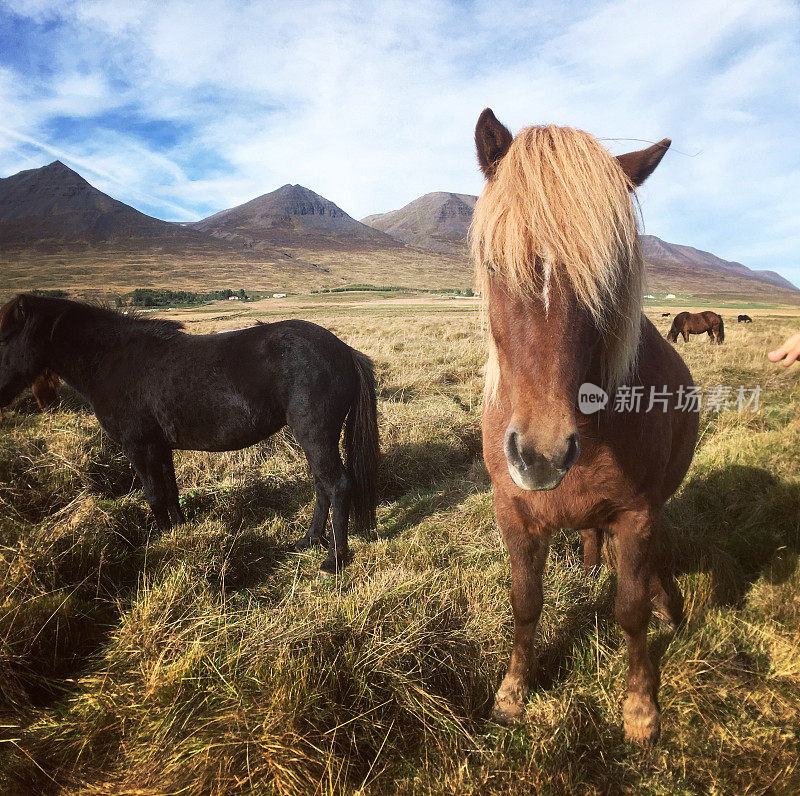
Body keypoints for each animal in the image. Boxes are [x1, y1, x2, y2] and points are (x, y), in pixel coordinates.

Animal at [0, 292, 380, 572]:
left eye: (5, 337)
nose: (1, 393)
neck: (113, 360)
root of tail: (344, 351)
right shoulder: (159, 446)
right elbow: (169, 491)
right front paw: (179, 532)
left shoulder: (138, 446)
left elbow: (153, 494)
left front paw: (162, 543)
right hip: (313, 438)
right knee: (321, 486)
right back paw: (308, 540)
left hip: (315, 434)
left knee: (337, 485)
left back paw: (333, 560)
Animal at [472, 110, 696, 748]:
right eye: (494, 265)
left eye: (608, 277)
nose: (542, 455)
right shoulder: (514, 511)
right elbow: (525, 603)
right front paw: (512, 693)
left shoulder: (638, 514)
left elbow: (631, 610)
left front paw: (640, 708)